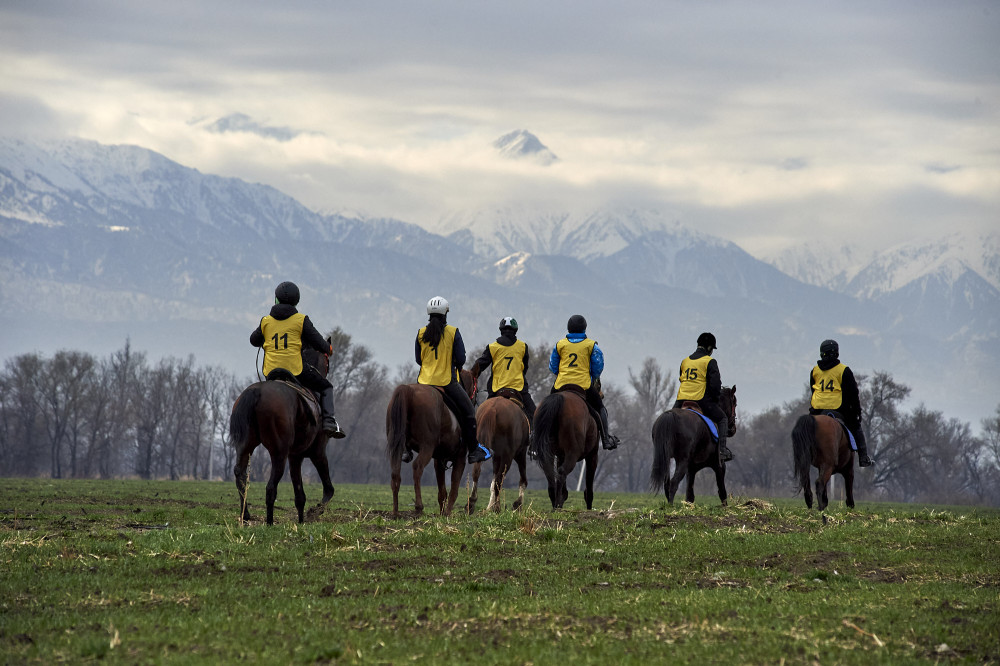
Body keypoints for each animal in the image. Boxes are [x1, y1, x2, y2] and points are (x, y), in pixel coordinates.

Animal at [228, 348, 334, 524]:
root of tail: (257, 392)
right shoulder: (318, 452)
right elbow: (328, 488)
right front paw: (315, 511)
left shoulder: (295, 456)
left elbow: (300, 494)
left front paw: (301, 521)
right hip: (279, 453)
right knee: (271, 486)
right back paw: (270, 522)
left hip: (245, 447)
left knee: (240, 476)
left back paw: (246, 515)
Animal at [384, 370, 474, 516]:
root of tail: (408, 390)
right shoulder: (460, 458)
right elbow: (454, 488)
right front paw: (447, 513)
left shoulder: (439, 460)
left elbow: (442, 491)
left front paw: (442, 513)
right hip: (427, 447)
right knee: (417, 467)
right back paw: (418, 507)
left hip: (398, 448)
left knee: (395, 472)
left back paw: (396, 512)